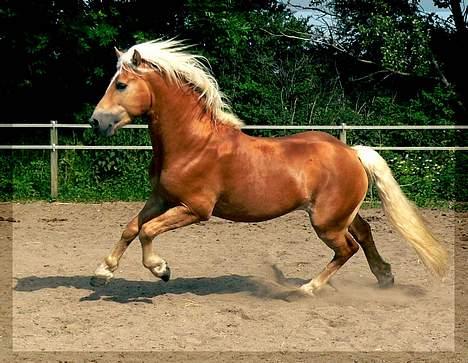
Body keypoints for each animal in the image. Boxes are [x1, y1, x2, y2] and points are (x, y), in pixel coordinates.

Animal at [88, 39, 446, 296]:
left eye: (121, 85)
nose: (95, 122)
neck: (193, 144)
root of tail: (351, 152)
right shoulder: (162, 198)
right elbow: (131, 228)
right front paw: (101, 273)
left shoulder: (195, 209)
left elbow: (147, 231)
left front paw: (161, 269)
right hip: (339, 214)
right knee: (365, 233)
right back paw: (384, 277)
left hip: (326, 222)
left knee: (348, 248)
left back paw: (307, 289)